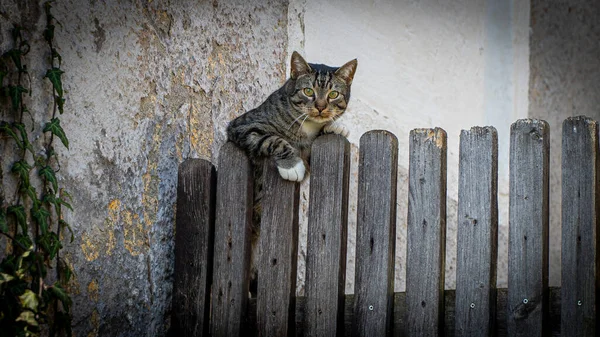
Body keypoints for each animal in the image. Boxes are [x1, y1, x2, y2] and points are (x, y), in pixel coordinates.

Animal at [225, 51, 356, 296]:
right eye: (308, 91)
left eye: (333, 94)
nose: (321, 107)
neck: (307, 126)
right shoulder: (243, 127)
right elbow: (273, 139)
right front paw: (292, 165)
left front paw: (335, 127)